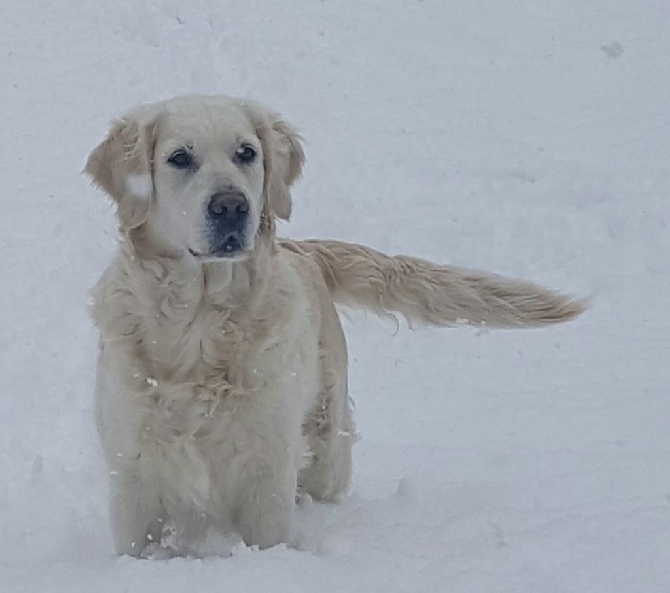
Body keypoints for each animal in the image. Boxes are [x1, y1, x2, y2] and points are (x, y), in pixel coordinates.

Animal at [86, 93, 584, 556]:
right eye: (179, 158)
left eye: (246, 152)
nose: (231, 206)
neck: (200, 326)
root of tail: (306, 249)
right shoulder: (132, 470)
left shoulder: (268, 464)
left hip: (325, 439)